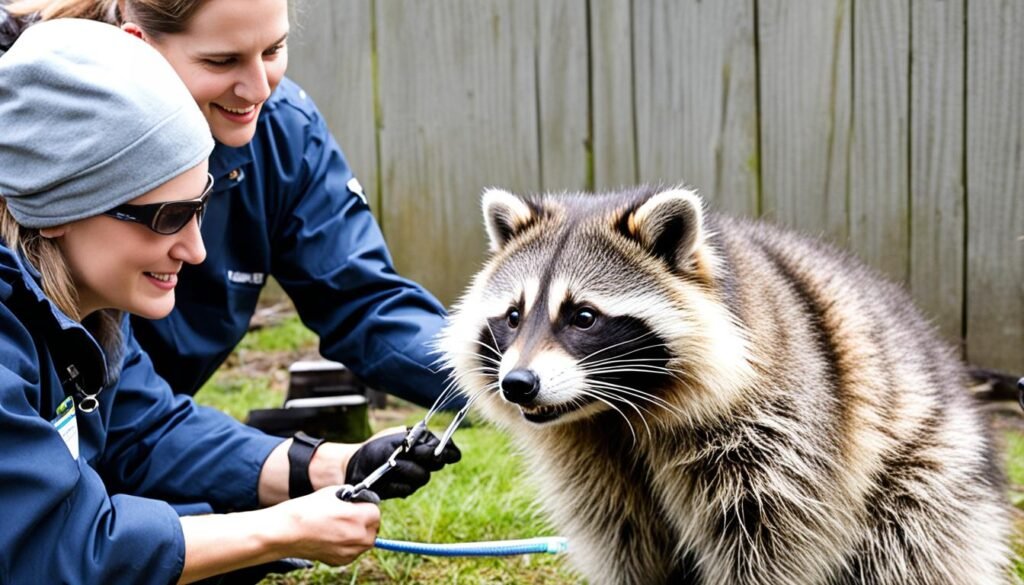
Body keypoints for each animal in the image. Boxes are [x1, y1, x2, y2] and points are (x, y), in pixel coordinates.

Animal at [436, 187, 1011, 585]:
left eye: (583, 317)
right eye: (513, 316)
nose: (518, 384)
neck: (615, 413)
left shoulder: (779, 431)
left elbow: (770, 542)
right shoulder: (590, 461)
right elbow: (624, 537)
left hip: (927, 479)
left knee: (908, 550)